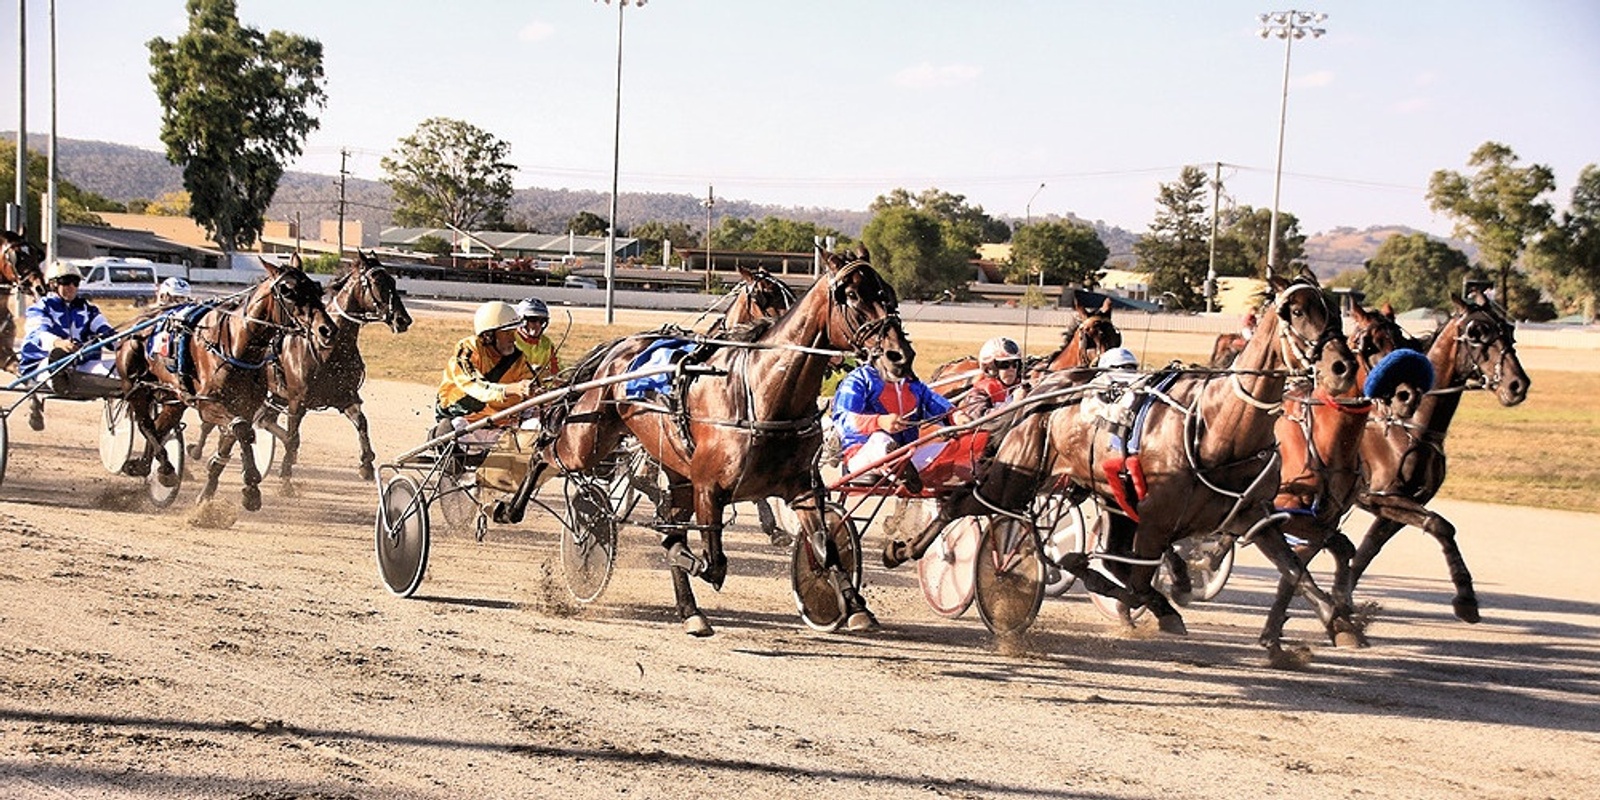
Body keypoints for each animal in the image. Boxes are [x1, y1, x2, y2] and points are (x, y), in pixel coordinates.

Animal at [116, 262, 337, 512]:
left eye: (317, 289)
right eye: (288, 291)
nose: (327, 329)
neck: (235, 345)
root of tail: (137, 324)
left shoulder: (244, 406)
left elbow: (231, 440)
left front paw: (211, 495)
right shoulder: (209, 405)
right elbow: (241, 430)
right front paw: (251, 484)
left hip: (175, 397)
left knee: (159, 426)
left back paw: (145, 465)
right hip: (136, 385)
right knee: (146, 424)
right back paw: (165, 468)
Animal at [499, 249, 908, 636]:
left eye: (887, 293)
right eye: (851, 295)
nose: (899, 356)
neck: (761, 390)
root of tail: (618, 346)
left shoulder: (801, 487)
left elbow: (825, 549)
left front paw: (854, 606)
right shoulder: (708, 488)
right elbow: (711, 564)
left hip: (673, 470)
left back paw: (690, 612)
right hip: (588, 438)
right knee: (546, 452)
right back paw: (511, 508)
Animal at [896, 272, 1356, 652]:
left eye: (1335, 310)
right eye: (1296, 311)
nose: (1342, 366)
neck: (1216, 425)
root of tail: (1043, 391)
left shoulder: (1252, 515)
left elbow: (1295, 570)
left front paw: (1340, 622)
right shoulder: (1153, 519)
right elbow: (1134, 582)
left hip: (1102, 493)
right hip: (1016, 477)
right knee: (963, 502)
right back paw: (906, 548)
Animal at [1356, 291, 1529, 620]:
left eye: (1508, 330)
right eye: (1476, 333)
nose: (1517, 384)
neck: (1409, 425)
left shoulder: (1406, 501)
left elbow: (1368, 549)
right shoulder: (1379, 495)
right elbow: (1441, 525)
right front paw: (1466, 597)